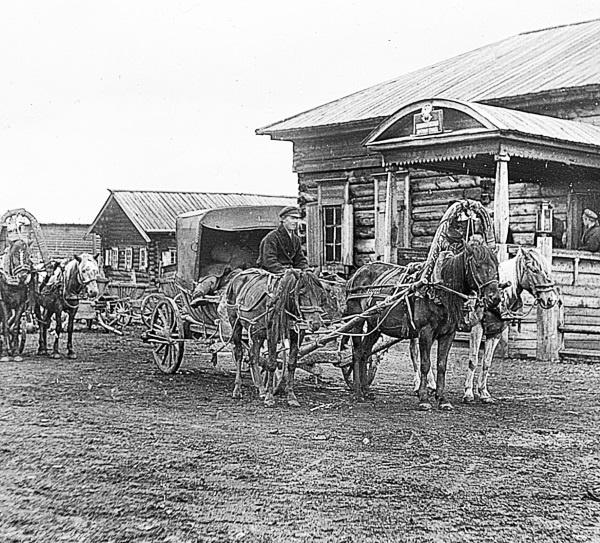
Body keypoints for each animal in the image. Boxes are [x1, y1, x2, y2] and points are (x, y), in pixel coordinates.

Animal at [226, 268, 328, 408]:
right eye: (302, 293)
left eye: (320, 294)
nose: (316, 323)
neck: (285, 305)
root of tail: (236, 277)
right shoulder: (272, 332)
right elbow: (272, 363)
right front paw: (269, 397)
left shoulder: (297, 334)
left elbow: (291, 364)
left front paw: (291, 396)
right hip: (235, 323)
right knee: (239, 354)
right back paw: (237, 389)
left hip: (256, 331)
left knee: (253, 356)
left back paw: (260, 388)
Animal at [344, 240, 500, 410]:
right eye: (477, 265)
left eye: (496, 265)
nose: (495, 298)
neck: (438, 291)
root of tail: (356, 275)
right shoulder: (425, 332)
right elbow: (425, 364)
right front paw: (424, 398)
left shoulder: (448, 334)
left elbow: (441, 365)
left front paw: (442, 399)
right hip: (357, 322)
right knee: (357, 352)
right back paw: (358, 392)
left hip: (375, 326)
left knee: (365, 352)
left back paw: (366, 390)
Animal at [462, 246, 560, 404]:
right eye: (534, 269)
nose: (551, 299)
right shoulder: (476, 328)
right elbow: (473, 360)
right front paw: (468, 393)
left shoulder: (495, 333)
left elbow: (486, 362)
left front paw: (484, 393)